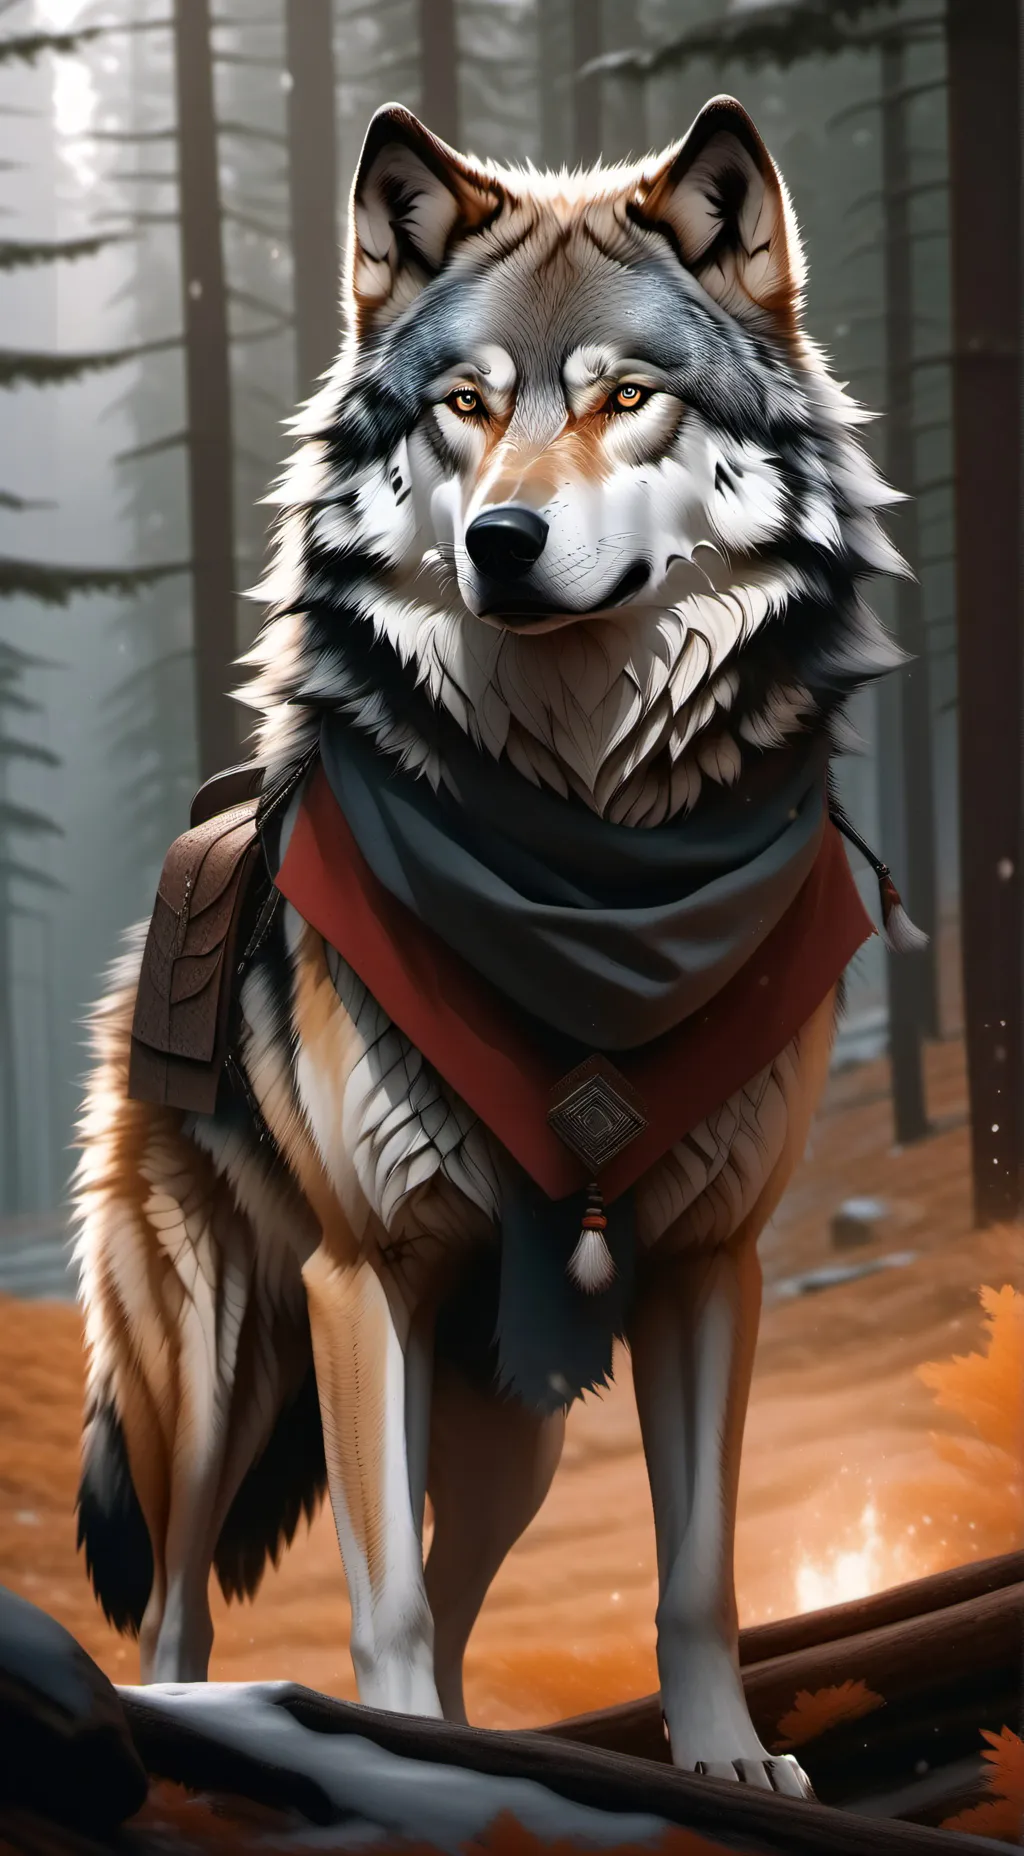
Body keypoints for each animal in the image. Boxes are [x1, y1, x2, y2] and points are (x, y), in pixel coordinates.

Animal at [74, 96, 903, 1797]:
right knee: (182, 1607)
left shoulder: (709, 1266)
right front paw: (389, 1757)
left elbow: (696, 1574)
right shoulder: (362, 1278)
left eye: (626, 398)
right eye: (465, 405)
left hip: (516, 1418)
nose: (501, 541)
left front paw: (727, 1761)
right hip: (210, 1378)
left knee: (458, 1605)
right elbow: (379, 1599)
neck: (587, 871)